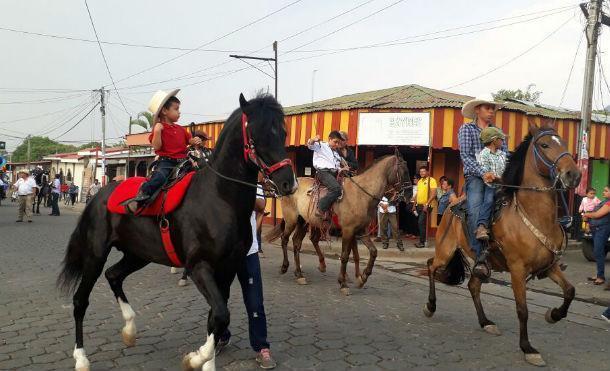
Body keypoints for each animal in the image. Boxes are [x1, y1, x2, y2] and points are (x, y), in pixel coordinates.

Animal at [56, 93, 294, 371]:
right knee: (80, 300)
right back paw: (81, 358)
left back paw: (129, 329)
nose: (288, 183)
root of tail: (98, 196)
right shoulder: (199, 267)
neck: (218, 199)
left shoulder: (227, 268)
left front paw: (207, 362)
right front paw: (195, 358)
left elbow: (217, 316)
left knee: (113, 275)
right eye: (256, 135)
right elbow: (221, 314)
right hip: (95, 255)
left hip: (138, 255)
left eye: (283, 132)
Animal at [266, 153, 408, 294]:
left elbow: (371, 252)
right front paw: (343, 283)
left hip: (303, 222)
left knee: (296, 243)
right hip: (291, 220)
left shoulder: (360, 230)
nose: (408, 194)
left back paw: (300, 274)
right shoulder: (348, 230)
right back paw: (285, 267)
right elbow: (345, 256)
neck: (361, 194)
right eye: (403, 171)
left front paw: (362, 277)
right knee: (285, 239)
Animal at [422, 120, 580, 368]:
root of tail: (451, 205)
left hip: (480, 264)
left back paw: (486, 322)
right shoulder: (517, 269)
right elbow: (522, 309)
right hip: (445, 251)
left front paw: (553, 315)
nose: (574, 174)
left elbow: (570, 291)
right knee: (431, 265)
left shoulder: (549, 266)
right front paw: (528, 348)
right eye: (544, 145)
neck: (535, 217)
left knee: (473, 286)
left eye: (563, 142)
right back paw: (430, 306)